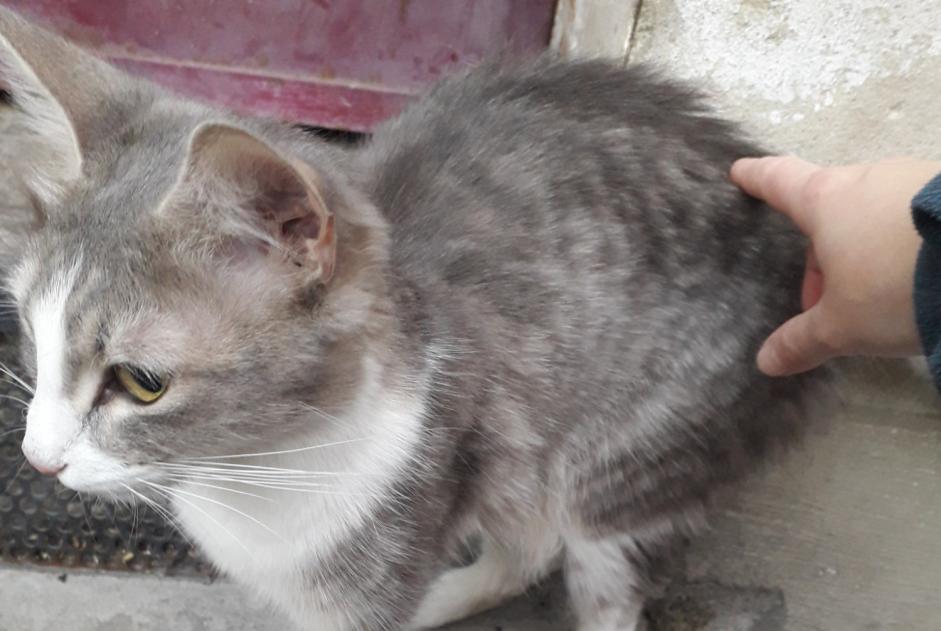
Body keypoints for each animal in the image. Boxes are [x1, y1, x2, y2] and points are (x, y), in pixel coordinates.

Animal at [0, 8, 828, 631]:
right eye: (33, 332)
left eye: (141, 381)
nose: (37, 459)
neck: (253, 474)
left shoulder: (389, 546)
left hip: (623, 458)